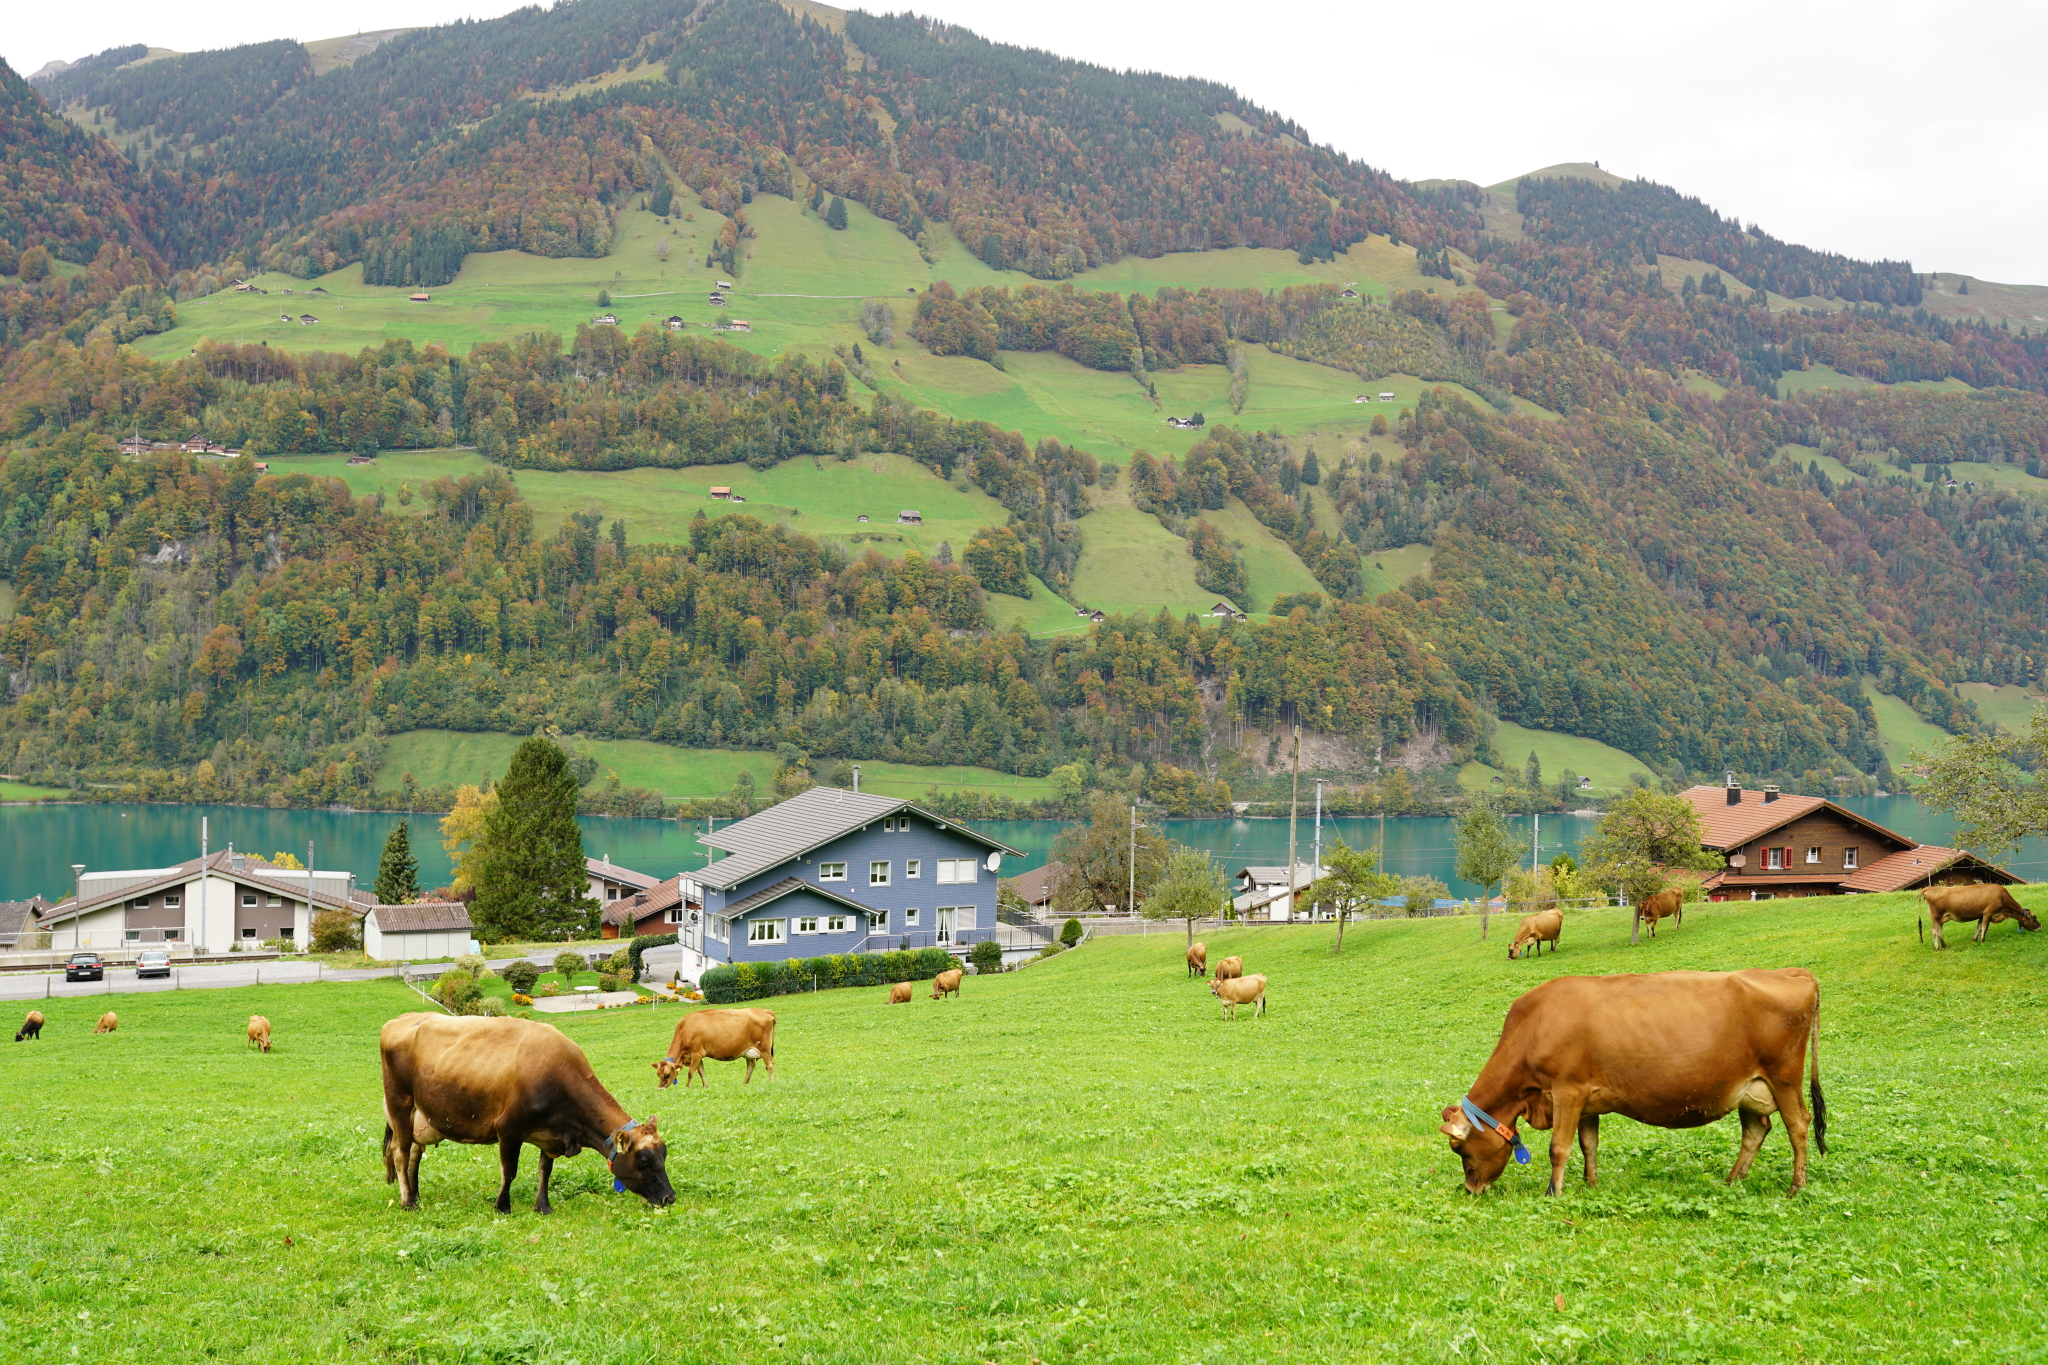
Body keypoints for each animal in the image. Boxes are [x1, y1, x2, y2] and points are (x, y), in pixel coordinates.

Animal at [376, 1015, 671, 1219]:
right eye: (643, 1160)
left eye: (664, 1156)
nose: (670, 1197)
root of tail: (398, 1020)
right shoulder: (508, 1129)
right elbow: (509, 1171)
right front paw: (502, 1206)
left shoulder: (550, 1136)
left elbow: (545, 1171)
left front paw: (543, 1206)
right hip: (400, 1104)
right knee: (401, 1154)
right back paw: (408, 1202)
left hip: (422, 1118)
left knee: (414, 1154)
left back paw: (415, 1193)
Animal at [1441, 970, 1826, 1195]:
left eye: (1460, 1149)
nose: (1470, 1189)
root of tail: (1793, 972)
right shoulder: (1587, 1098)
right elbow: (1588, 1144)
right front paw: (1591, 1184)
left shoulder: (1567, 1089)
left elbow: (1558, 1148)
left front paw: (1553, 1193)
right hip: (1749, 1088)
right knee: (1756, 1131)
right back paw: (1732, 1181)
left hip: (1784, 1078)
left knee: (1798, 1126)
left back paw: (1796, 1187)